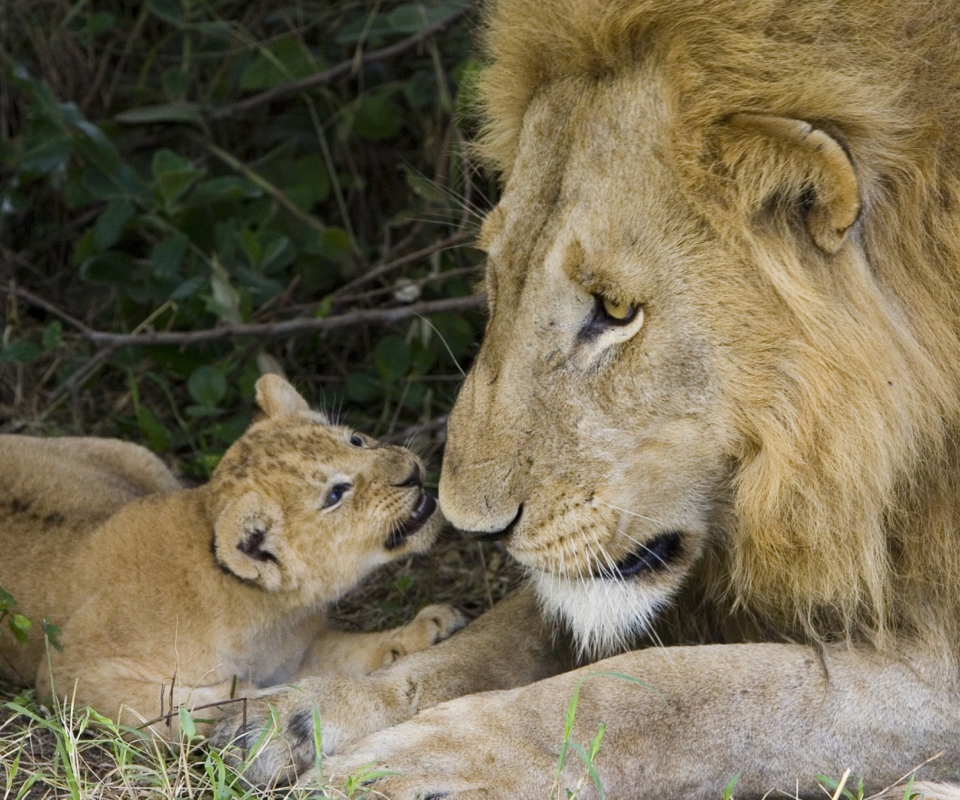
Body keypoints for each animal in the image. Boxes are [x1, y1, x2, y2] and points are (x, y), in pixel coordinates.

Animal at [216, 0, 960, 792]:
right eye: (496, 276)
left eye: (615, 309)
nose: (473, 528)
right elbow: (498, 637)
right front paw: (293, 715)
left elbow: (668, 692)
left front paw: (418, 766)